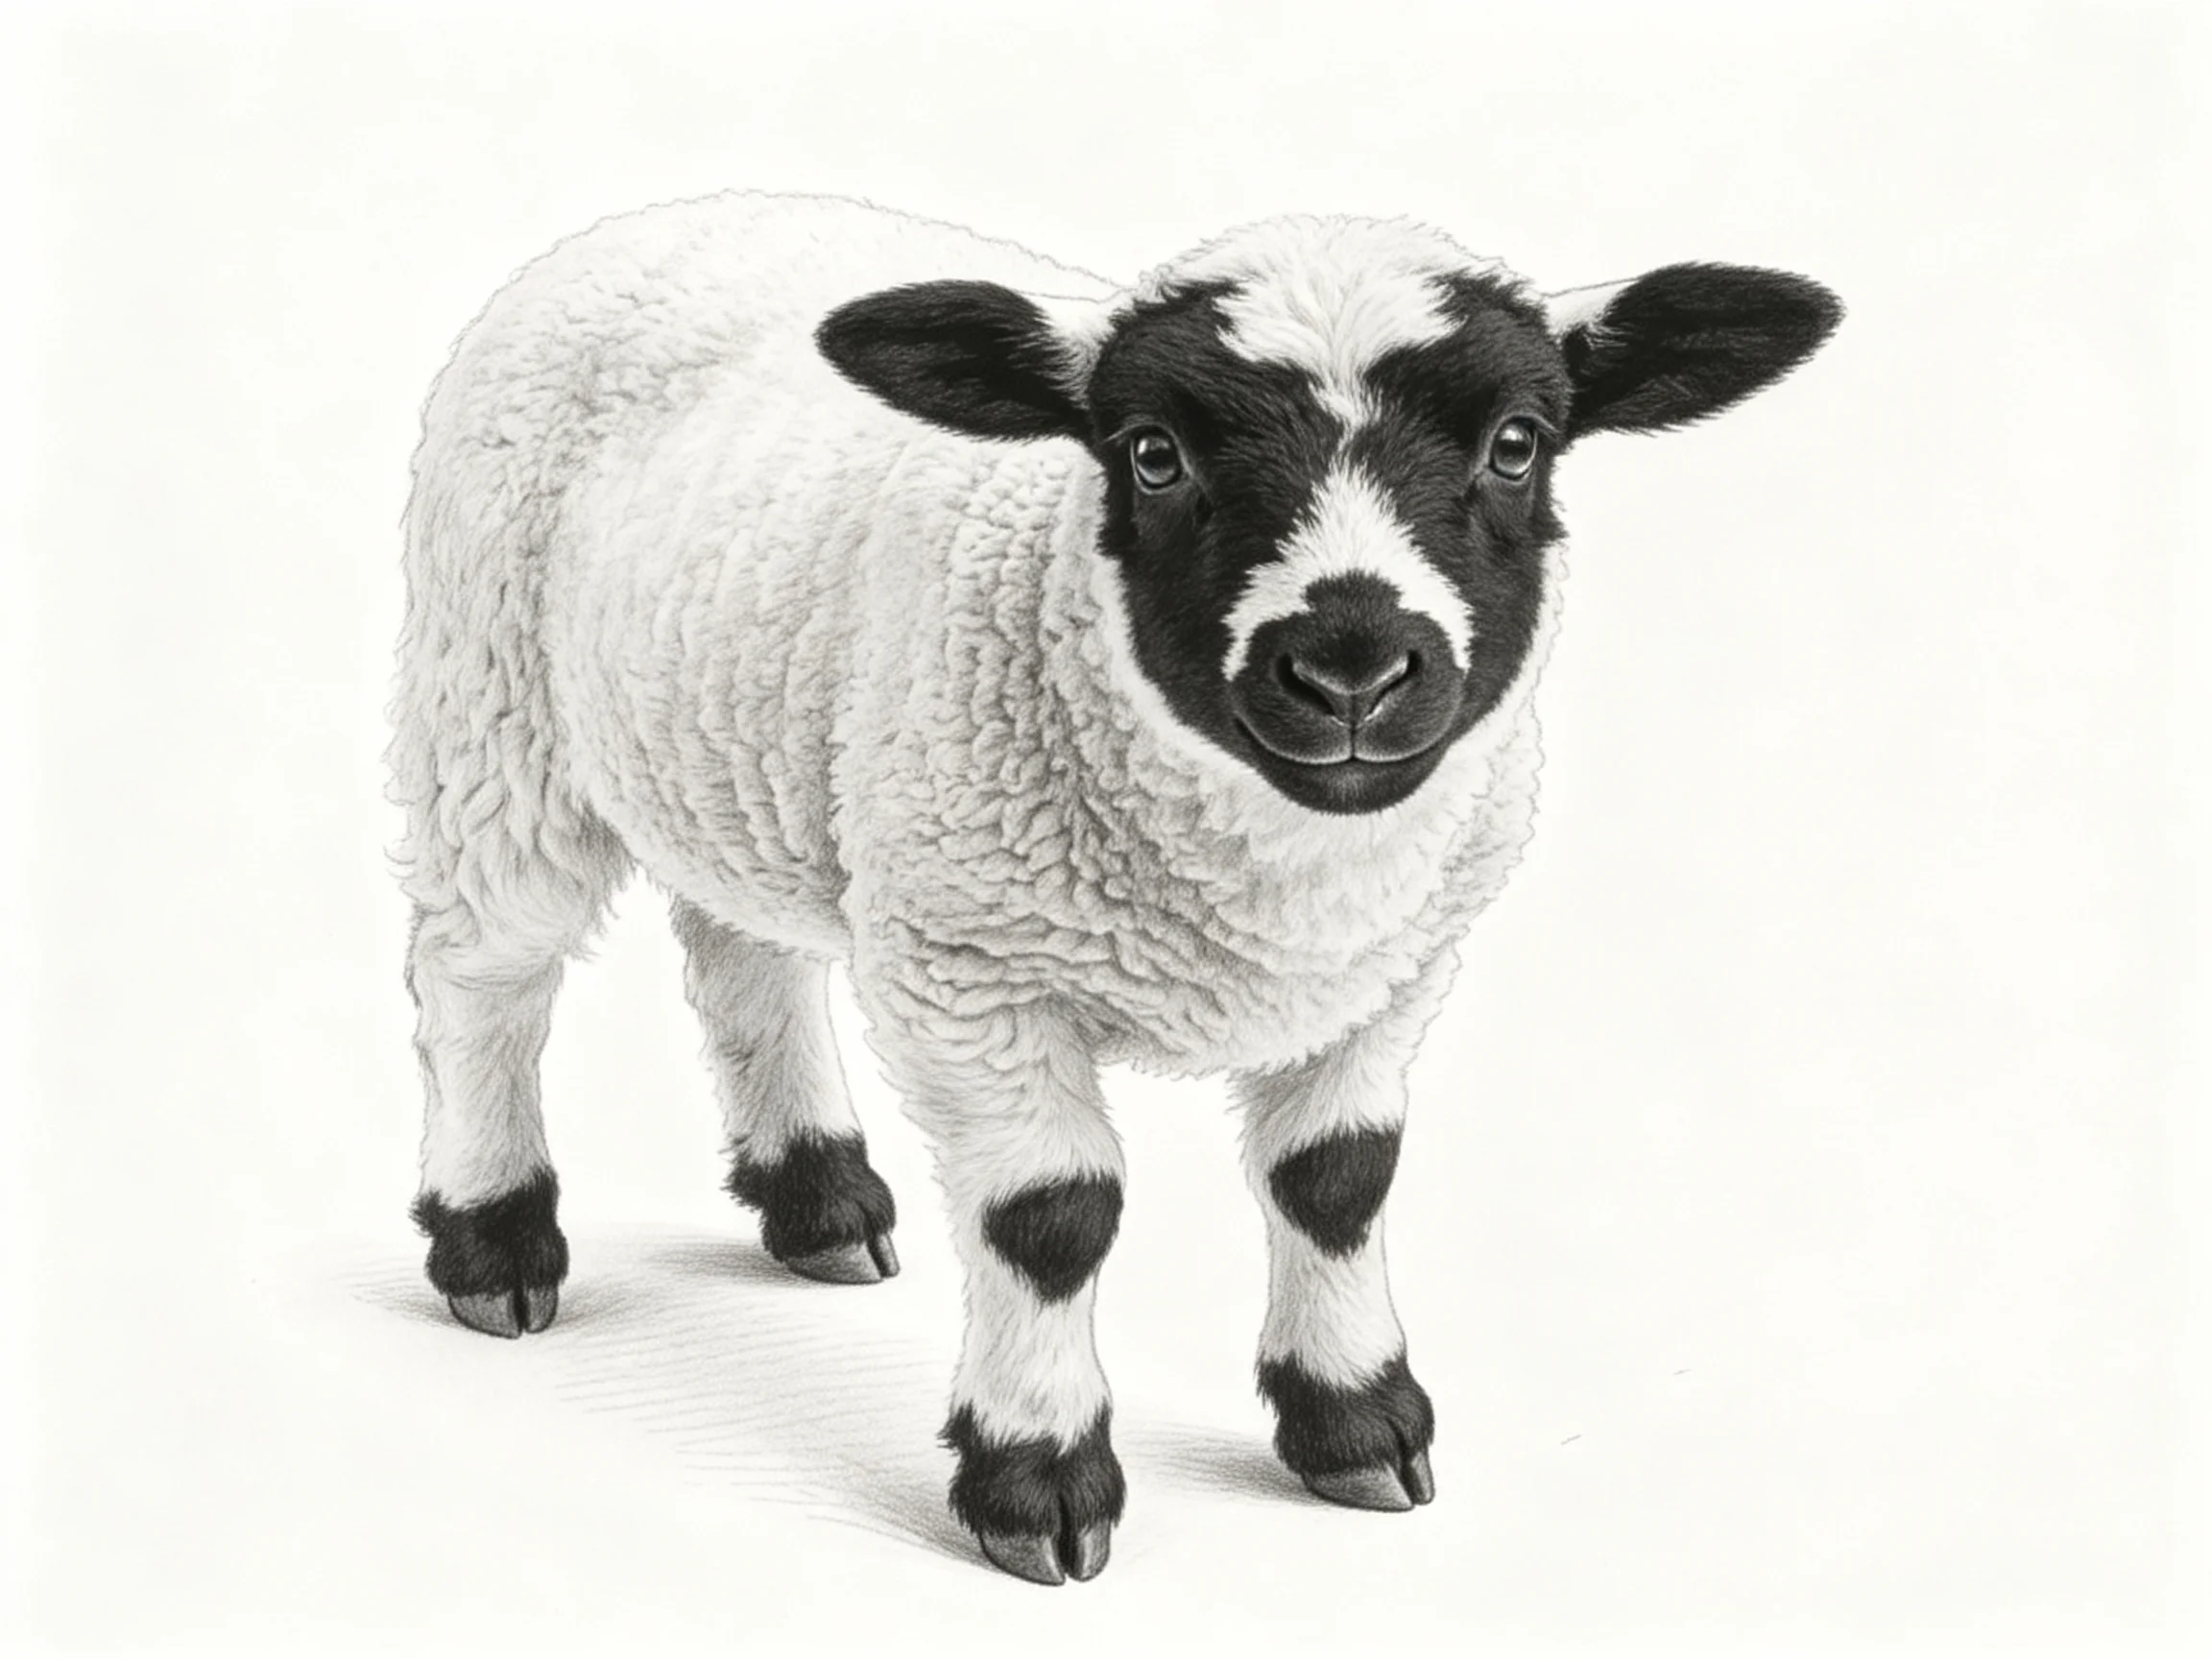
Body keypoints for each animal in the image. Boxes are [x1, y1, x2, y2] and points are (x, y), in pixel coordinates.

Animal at [389, 190, 1839, 1586]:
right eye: (1152, 451)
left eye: (1520, 444)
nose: (1352, 663)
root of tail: (668, 215)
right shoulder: (972, 968)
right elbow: (1051, 1220)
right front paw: (1037, 1480)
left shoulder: (1391, 975)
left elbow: (1339, 1182)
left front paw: (1356, 1423)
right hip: (492, 697)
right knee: (483, 974)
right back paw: (494, 1245)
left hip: (747, 761)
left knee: (745, 950)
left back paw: (817, 1201)